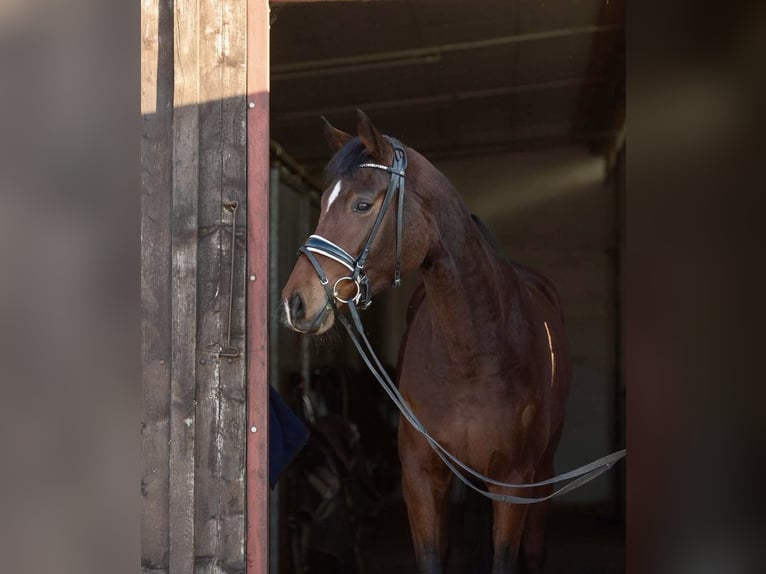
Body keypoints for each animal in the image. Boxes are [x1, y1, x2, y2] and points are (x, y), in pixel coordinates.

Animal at [281, 109, 571, 574]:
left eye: (362, 204)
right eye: (323, 203)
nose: (296, 302)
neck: (473, 352)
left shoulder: (514, 481)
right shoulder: (421, 477)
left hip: (542, 472)